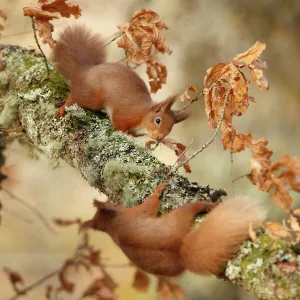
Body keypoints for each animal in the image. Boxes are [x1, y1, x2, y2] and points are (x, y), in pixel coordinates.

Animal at [51, 24, 188, 141]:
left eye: (171, 128)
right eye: (158, 120)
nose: (160, 138)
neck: (143, 114)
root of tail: (84, 71)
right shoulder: (125, 115)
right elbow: (118, 125)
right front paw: (126, 134)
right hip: (93, 96)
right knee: (75, 96)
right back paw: (64, 106)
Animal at [81, 184, 266, 278]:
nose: (108, 198)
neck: (115, 226)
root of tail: (180, 251)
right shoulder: (138, 213)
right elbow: (151, 203)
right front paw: (159, 188)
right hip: (182, 214)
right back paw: (207, 205)